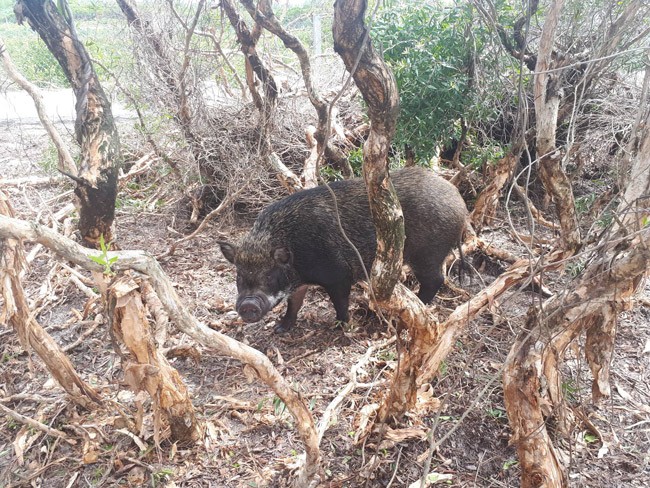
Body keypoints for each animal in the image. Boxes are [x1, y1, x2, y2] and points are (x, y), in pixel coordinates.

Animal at [218, 167, 466, 332]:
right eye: (239, 276)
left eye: (269, 275)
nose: (248, 305)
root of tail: (461, 205)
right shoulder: (299, 283)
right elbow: (294, 304)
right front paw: (280, 329)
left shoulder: (339, 274)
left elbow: (340, 301)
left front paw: (339, 326)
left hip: (429, 253)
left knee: (436, 280)